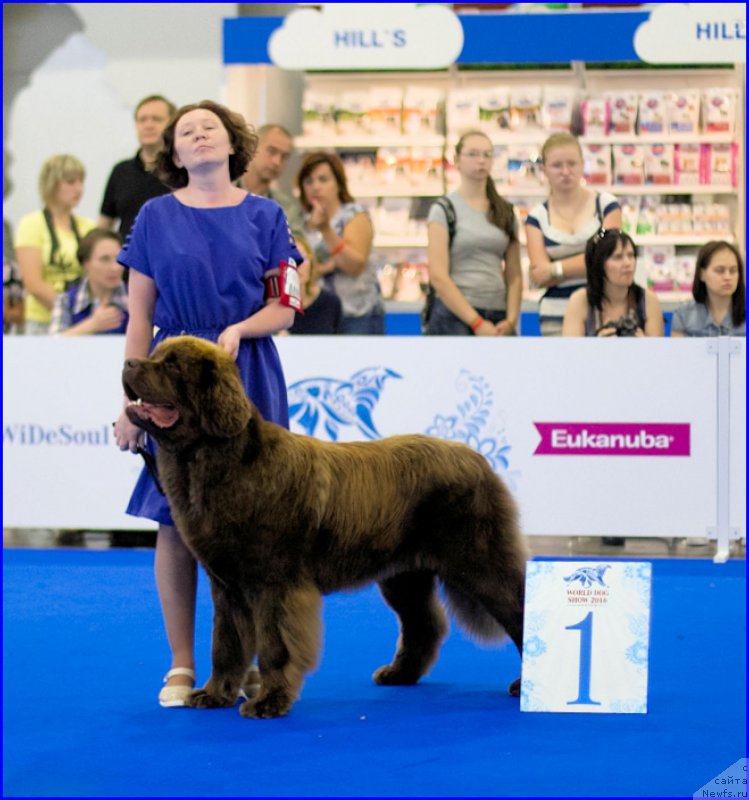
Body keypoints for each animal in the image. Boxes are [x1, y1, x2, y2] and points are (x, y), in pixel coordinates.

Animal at [122, 334, 528, 720]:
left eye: (172, 365)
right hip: (403, 575)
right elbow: (225, 642)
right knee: (423, 623)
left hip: (480, 562)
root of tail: (478, 459)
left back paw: (524, 685)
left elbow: (274, 646)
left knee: (519, 608)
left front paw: (269, 701)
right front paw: (214, 694)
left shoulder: (274, 584)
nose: (128, 362)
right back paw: (399, 674)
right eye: (155, 355)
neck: (215, 462)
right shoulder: (227, 586)